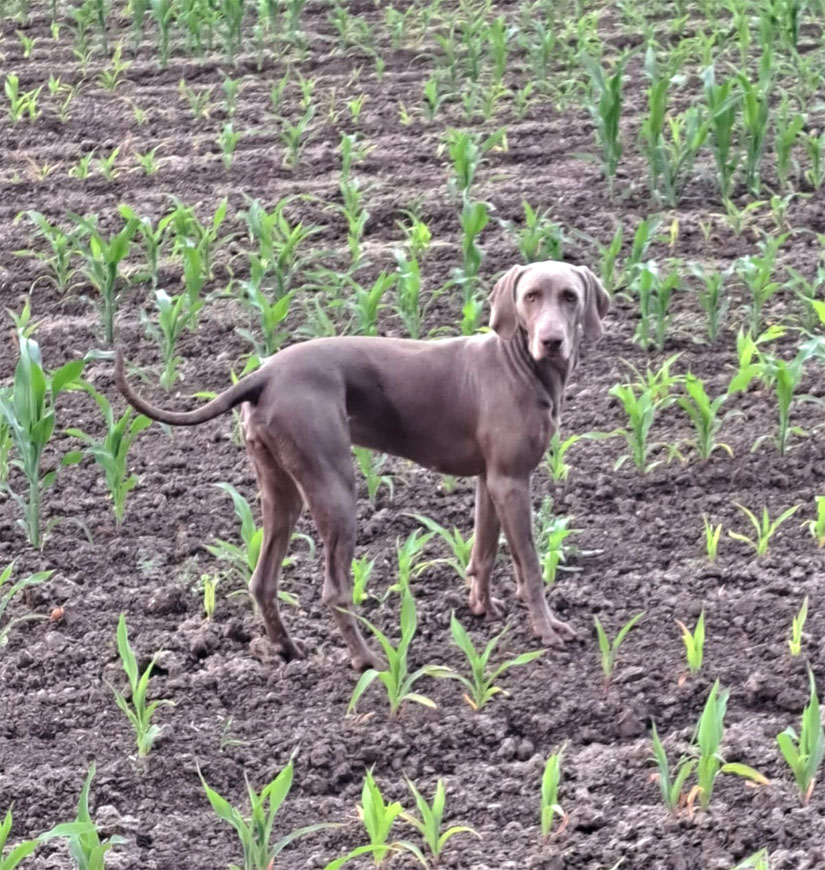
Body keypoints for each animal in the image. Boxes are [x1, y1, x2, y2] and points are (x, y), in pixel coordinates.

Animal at [114, 262, 604, 672]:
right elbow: (531, 565)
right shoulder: (512, 482)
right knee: (335, 589)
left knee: (262, 581)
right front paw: (546, 630)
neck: (521, 365)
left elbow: (483, 551)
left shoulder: (491, 480)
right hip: (336, 488)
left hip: (282, 492)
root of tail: (264, 373)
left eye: (570, 296)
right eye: (531, 296)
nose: (552, 341)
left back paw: (288, 649)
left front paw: (482, 607)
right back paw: (370, 659)